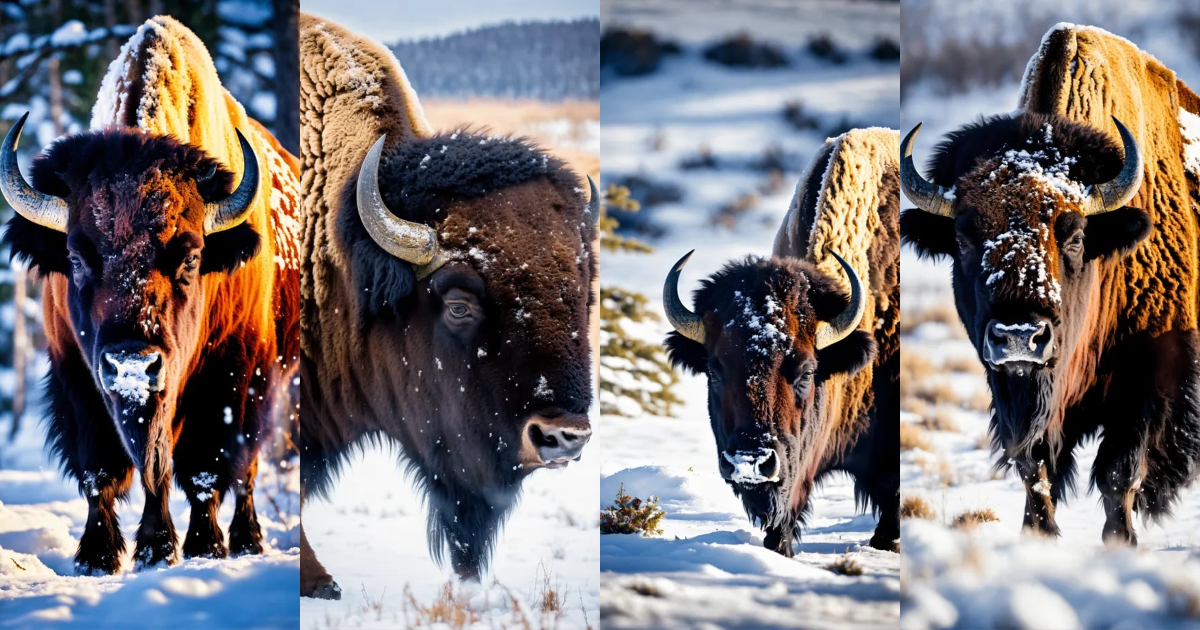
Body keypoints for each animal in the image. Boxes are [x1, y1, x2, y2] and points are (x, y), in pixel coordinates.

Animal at [0, 17, 302, 573]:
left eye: (191, 258)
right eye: (75, 257)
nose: (133, 364)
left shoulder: (231, 373)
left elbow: (206, 468)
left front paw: (200, 547)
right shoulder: (78, 375)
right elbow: (105, 469)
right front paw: (103, 555)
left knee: (245, 470)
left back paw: (248, 540)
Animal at [899, 24, 1200, 544]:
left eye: (1075, 236)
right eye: (962, 238)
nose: (1021, 336)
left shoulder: (1150, 372)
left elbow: (1118, 472)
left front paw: (1120, 542)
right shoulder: (1013, 390)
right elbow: (1035, 468)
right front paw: (1038, 534)